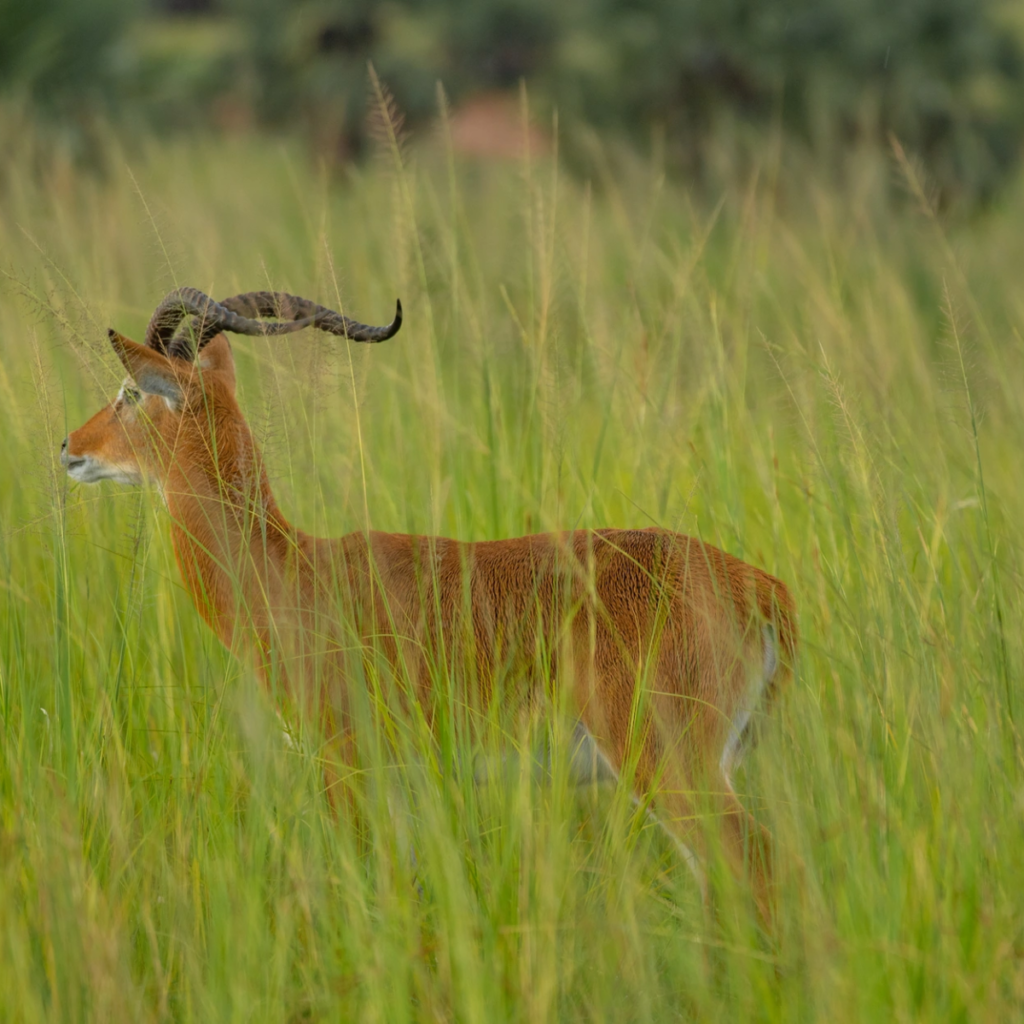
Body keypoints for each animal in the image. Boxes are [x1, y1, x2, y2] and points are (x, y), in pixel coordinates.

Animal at [60, 288, 797, 917]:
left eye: (130, 392)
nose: (68, 446)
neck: (290, 571)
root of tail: (760, 587)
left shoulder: (346, 766)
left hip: (668, 765)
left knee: (755, 864)